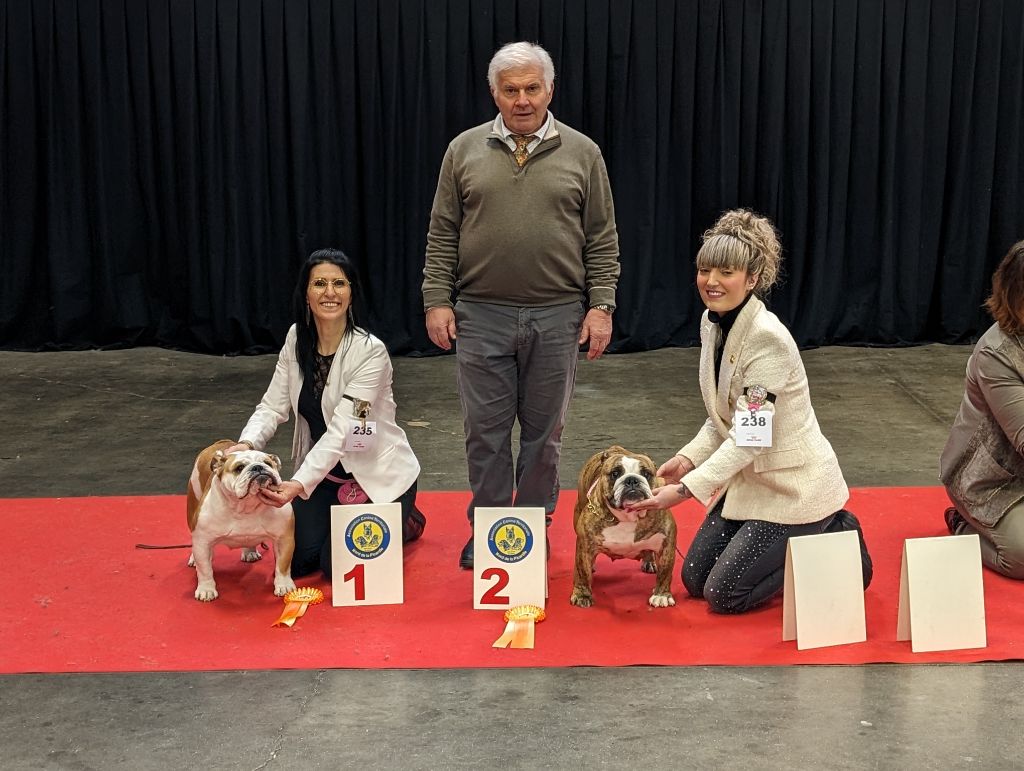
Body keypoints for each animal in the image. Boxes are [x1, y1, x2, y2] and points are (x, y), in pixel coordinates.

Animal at [185, 439, 296, 602]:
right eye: (239, 468)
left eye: (268, 463)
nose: (258, 467)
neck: (246, 505)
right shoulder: (202, 541)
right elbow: (205, 569)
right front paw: (206, 589)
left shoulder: (283, 539)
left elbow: (282, 565)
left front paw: (284, 585)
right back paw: (194, 559)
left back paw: (250, 552)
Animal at [570, 445, 677, 608]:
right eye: (615, 474)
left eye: (646, 474)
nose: (631, 479)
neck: (628, 516)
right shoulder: (584, 544)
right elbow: (582, 570)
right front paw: (583, 595)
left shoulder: (667, 542)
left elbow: (665, 571)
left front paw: (661, 595)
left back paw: (649, 562)